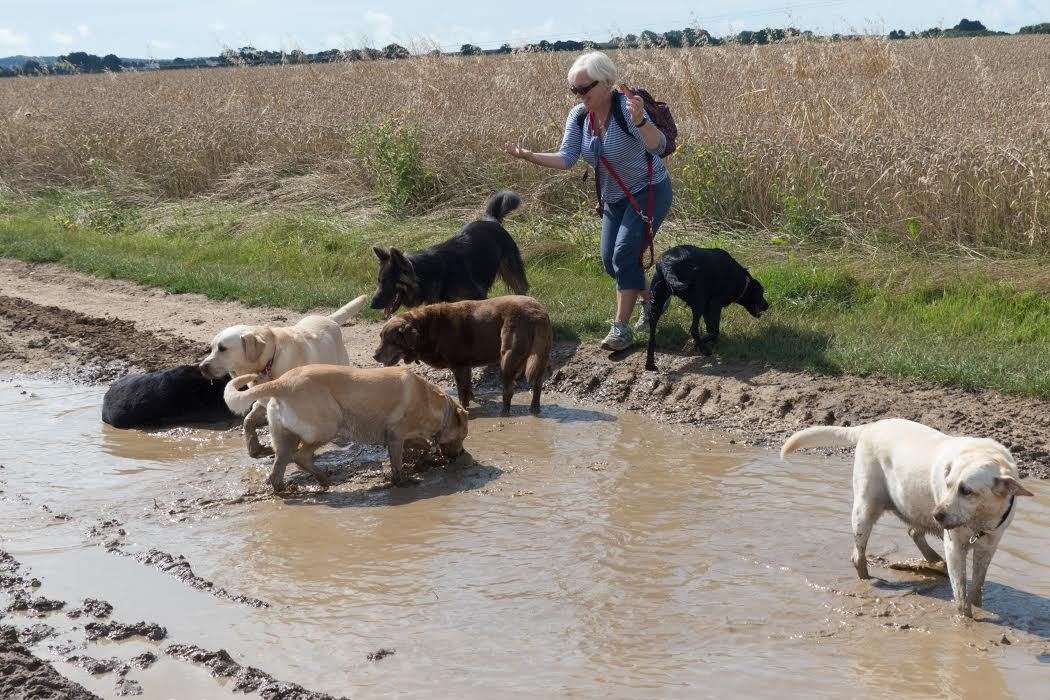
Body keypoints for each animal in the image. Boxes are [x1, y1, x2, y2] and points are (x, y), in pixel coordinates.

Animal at [371, 188, 533, 314]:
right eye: (379, 281)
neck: (427, 273)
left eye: (386, 281)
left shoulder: (477, 298)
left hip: (514, 276)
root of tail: (490, 220)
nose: (371, 305)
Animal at [642, 243, 768, 371]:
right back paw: (705, 350)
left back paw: (650, 364)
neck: (741, 280)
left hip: (657, 300)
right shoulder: (715, 304)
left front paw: (712, 343)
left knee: (652, 334)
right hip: (698, 301)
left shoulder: (707, 307)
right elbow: (714, 331)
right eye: (761, 293)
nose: (767, 305)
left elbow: (710, 328)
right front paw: (696, 345)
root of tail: (666, 263)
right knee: (693, 329)